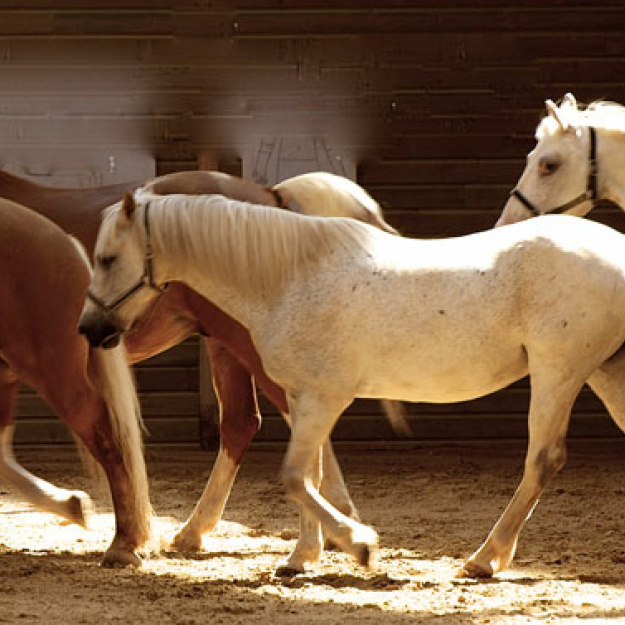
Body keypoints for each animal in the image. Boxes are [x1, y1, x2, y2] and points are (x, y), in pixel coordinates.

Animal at [80, 193, 625, 576]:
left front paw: (359, 545)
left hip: (559, 372)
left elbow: (294, 477)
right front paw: (301, 557)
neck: (288, 279)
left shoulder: (324, 398)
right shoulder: (302, 398)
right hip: (604, 372)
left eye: (107, 258)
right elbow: (311, 475)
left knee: (542, 460)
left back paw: (484, 558)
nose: (88, 329)